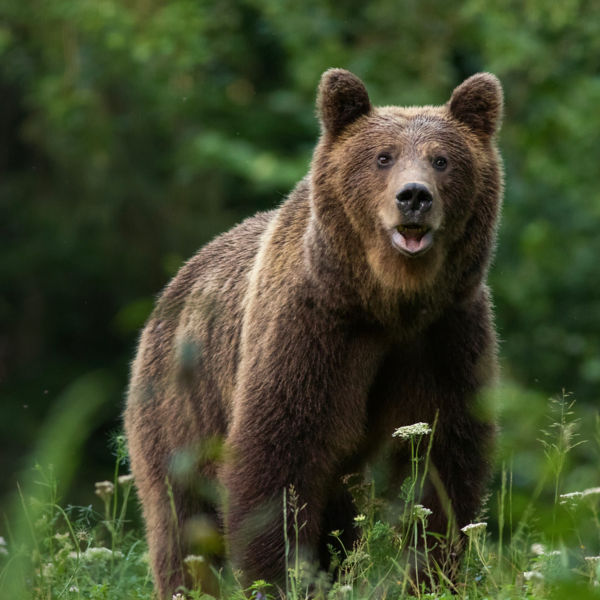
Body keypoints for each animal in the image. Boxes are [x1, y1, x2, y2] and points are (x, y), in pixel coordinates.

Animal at [124, 68, 504, 596]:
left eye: (442, 159)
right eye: (382, 156)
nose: (414, 196)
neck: (388, 302)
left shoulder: (444, 335)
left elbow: (441, 462)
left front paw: (431, 574)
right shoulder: (312, 331)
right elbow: (279, 459)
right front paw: (282, 576)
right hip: (179, 408)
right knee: (182, 522)